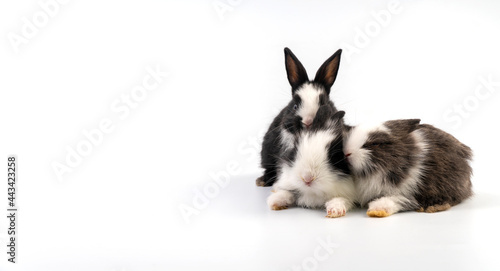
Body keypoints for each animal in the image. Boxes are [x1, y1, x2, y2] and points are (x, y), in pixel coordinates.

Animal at [344, 120, 472, 218]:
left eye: (375, 144)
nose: (346, 153)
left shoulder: (411, 194)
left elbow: (399, 200)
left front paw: (377, 210)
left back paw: (433, 207)